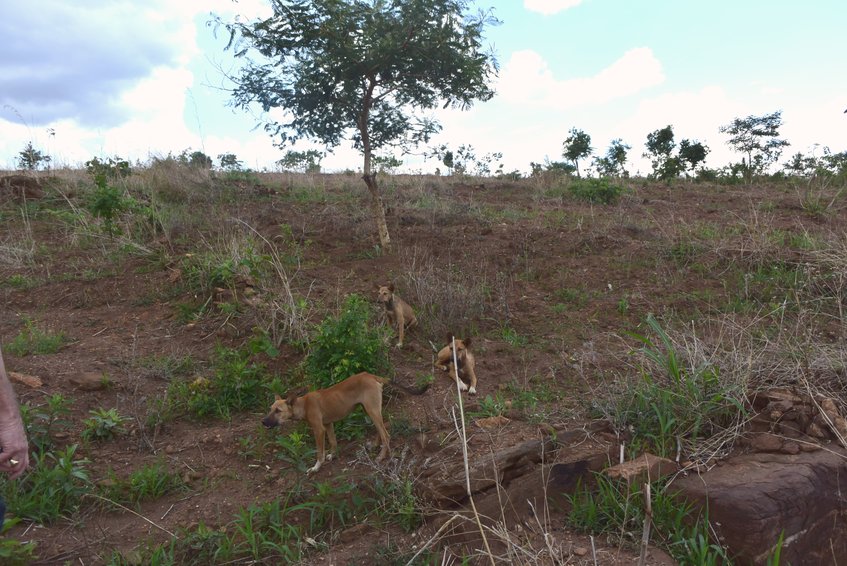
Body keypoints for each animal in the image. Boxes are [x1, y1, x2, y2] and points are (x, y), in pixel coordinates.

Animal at [262, 372, 390, 474]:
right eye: (270, 409)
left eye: (278, 411)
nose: (263, 421)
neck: (304, 405)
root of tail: (371, 375)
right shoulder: (328, 425)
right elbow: (333, 442)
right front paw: (333, 455)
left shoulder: (319, 430)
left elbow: (319, 453)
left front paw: (316, 468)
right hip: (370, 411)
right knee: (382, 429)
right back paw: (375, 445)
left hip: (372, 411)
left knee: (386, 435)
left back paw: (381, 457)